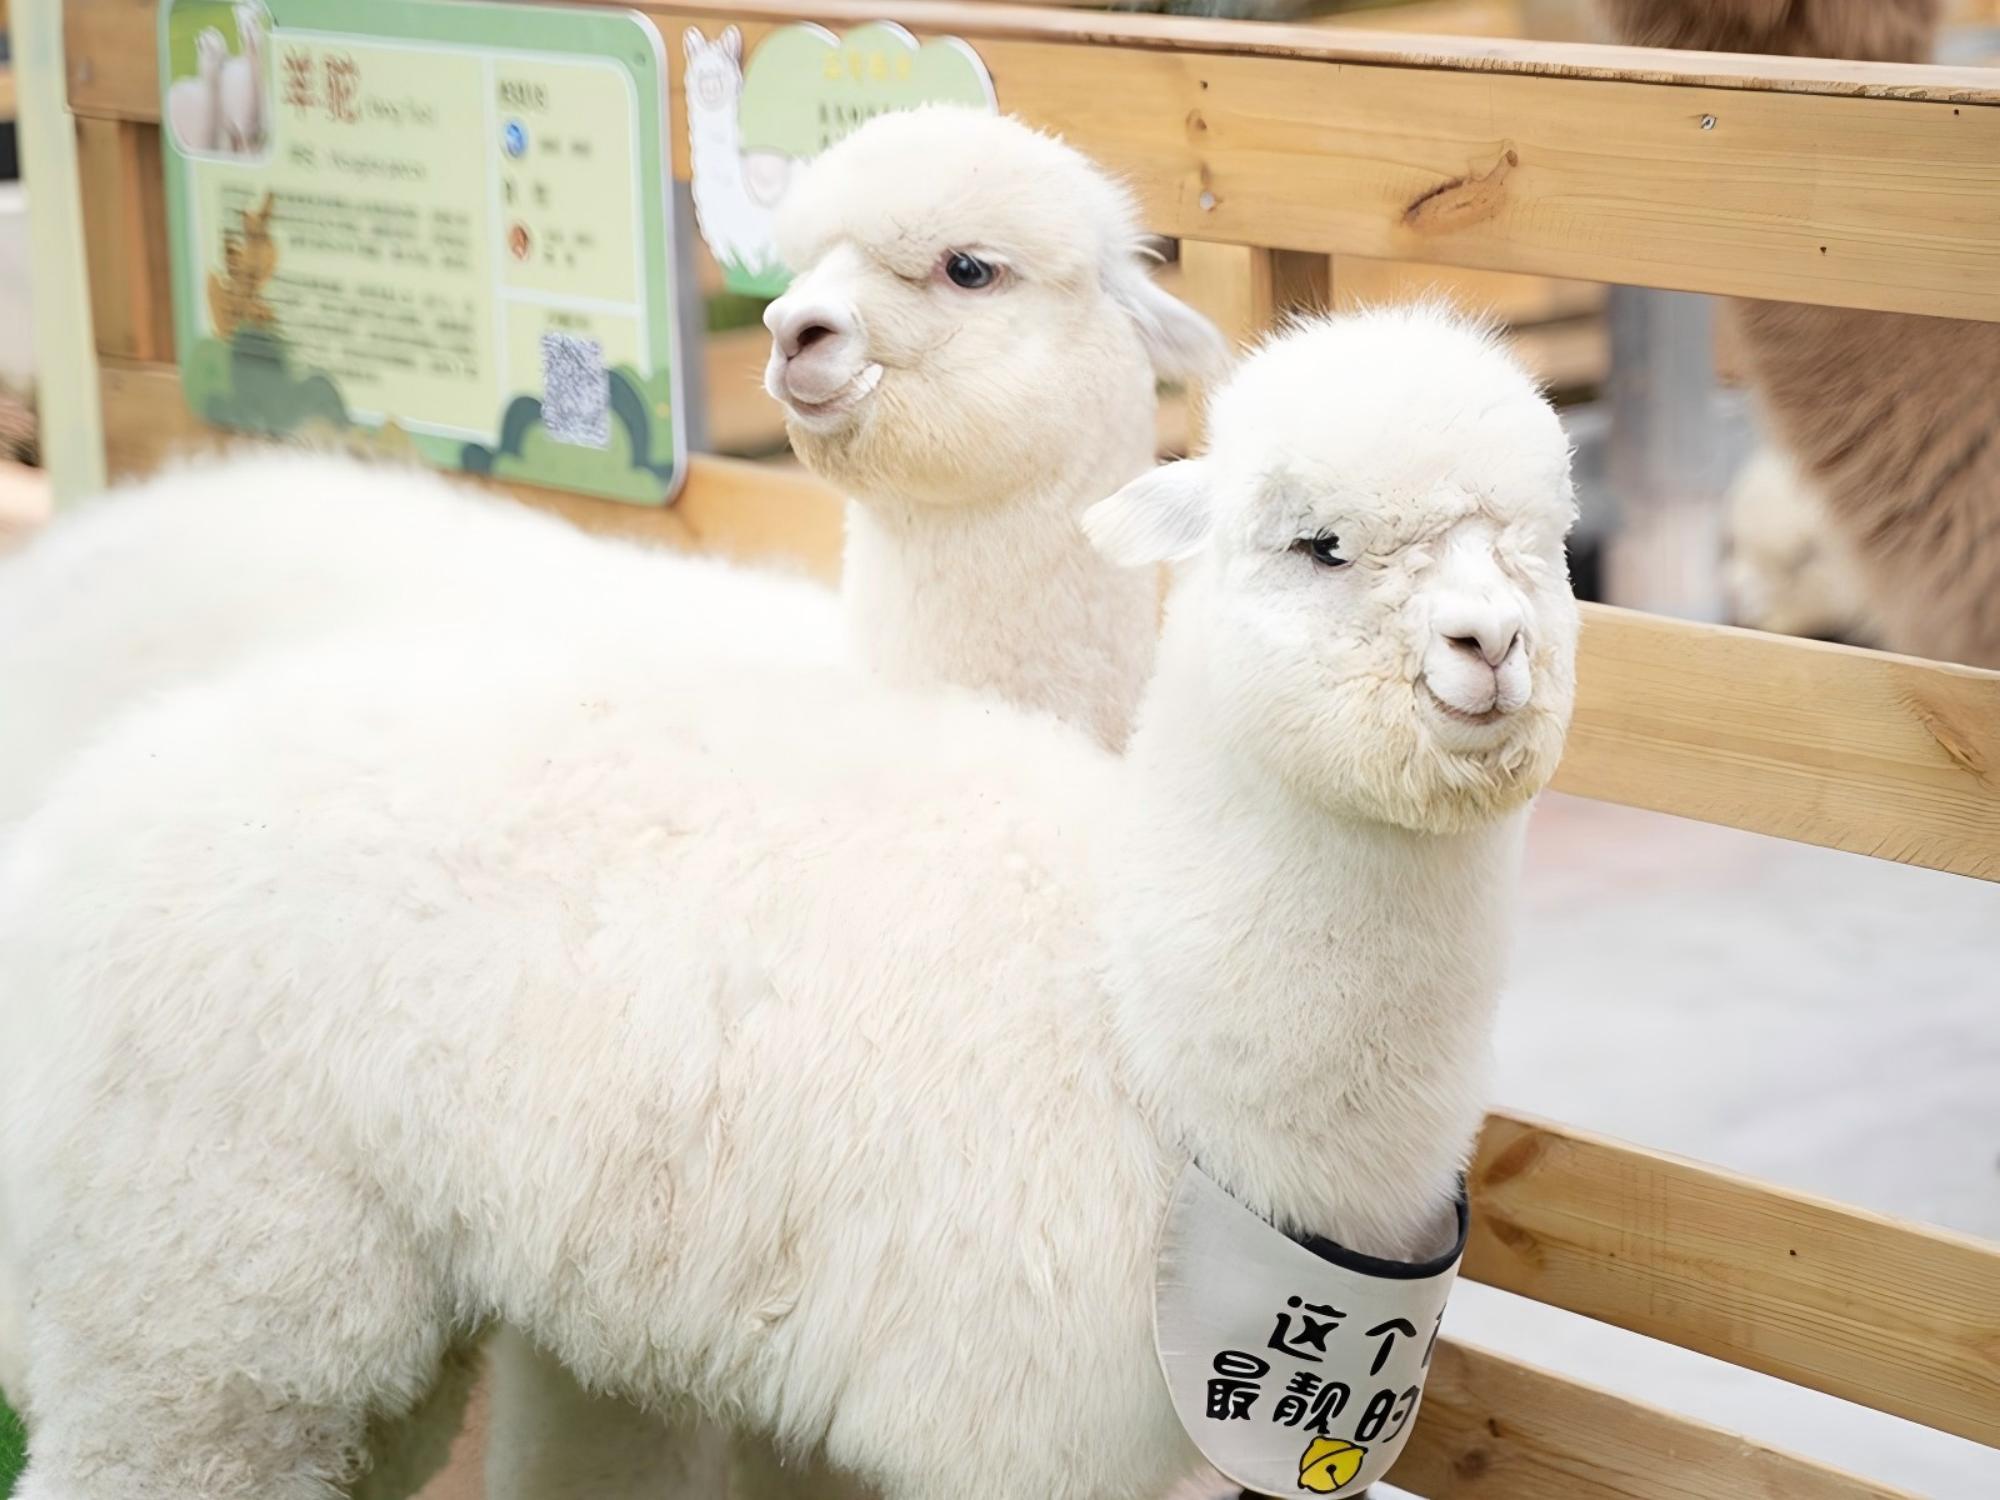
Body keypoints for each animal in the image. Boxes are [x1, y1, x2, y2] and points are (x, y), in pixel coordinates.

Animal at [0, 305, 1578, 1500]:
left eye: (1544, 543)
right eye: (1315, 543)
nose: (1487, 647)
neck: (1130, 1011)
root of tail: (78, 826)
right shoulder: (1004, 1415)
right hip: (194, 1288)